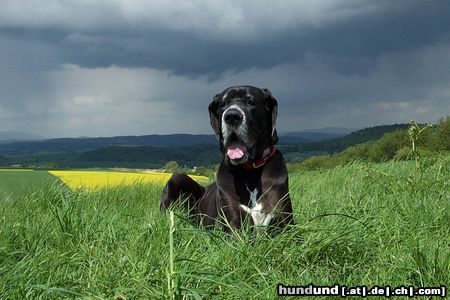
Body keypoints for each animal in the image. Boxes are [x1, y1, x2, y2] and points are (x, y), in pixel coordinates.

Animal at [160, 85, 294, 233]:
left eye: (250, 102)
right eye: (223, 104)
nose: (231, 116)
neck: (250, 171)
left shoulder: (287, 225)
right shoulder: (233, 225)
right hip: (177, 178)